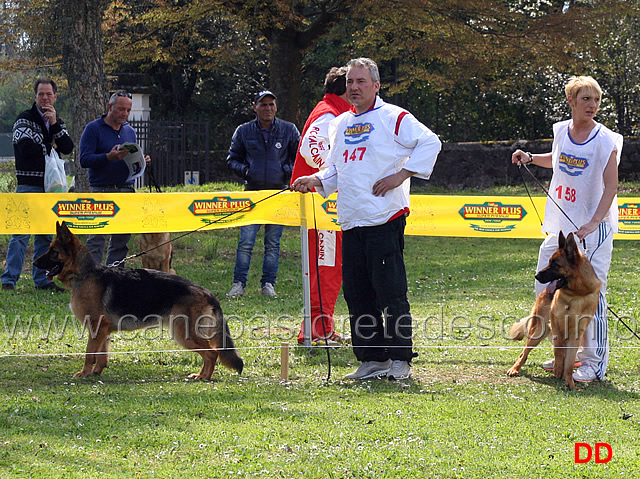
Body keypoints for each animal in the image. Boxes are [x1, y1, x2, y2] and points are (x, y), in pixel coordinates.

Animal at [35, 222, 245, 382]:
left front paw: (85, 373)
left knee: (212, 353)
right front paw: (96, 372)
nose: (34, 263)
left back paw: (204, 377)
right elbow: (102, 354)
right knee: (210, 353)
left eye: (53, 252)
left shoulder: (96, 327)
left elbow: (89, 354)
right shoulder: (102, 331)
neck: (84, 273)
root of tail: (207, 292)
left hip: (183, 333)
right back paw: (200, 375)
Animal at [508, 232, 604, 390]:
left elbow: (569, 363)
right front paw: (559, 370)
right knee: (524, 353)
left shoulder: (575, 335)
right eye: (549, 262)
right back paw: (515, 369)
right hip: (538, 332)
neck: (576, 294)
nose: (536, 276)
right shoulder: (557, 326)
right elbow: (559, 352)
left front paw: (570, 383)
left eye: (555, 264)